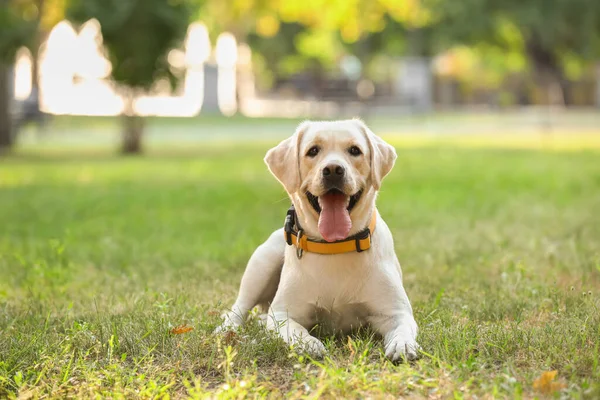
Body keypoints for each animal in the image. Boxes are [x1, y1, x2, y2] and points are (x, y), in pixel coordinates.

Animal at [214, 119, 418, 362]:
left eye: (355, 150)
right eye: (313, 151)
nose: (333, 170)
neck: (335, 246)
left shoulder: (395, 311)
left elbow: (403, 327)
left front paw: (402, 344)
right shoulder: (282, 313)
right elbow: (295, 330)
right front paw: (309, 344)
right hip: (262, 263)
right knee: (239, 307)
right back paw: (227, 328)